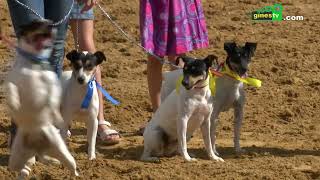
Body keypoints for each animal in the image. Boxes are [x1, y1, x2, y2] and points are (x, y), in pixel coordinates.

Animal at [4, 20, 78, 178]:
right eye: (36, 23)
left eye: (49, 23)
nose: (51, 25)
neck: (33, 64)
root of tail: (37, 146)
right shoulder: (12, 81)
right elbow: (12, 89)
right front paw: (14, 102)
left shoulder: (50, 82)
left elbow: (52, 98)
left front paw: (54, 112)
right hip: (16, 157)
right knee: (20, 166)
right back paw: (27, 171)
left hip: (59, 148)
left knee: (70, 164)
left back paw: (72, 173)